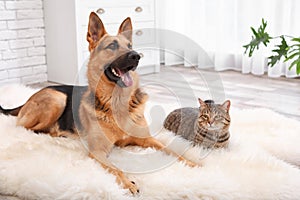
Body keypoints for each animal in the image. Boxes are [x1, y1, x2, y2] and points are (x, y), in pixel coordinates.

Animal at [0, 12, 199, 194]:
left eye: (130, 46)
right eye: (112, 45)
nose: (136, 56)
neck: (117, 101)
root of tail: (30, 97)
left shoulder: (147, 139)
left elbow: (173, 151)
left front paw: (192, 163)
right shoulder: (98, 150)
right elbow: (115, 169)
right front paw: (128, 183)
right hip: (57, 99)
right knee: (26, 128)